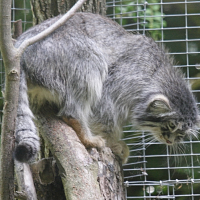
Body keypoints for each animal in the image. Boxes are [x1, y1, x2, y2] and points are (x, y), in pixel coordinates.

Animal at [14, 12, 198, 163]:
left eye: (182, 133)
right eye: (171, 125)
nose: (170, 140)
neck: (155, 73)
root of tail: (21, 49)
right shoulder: (119, 83)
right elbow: (105, 115)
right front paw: (113, 143)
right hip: (76, 55)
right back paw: (86, 135)